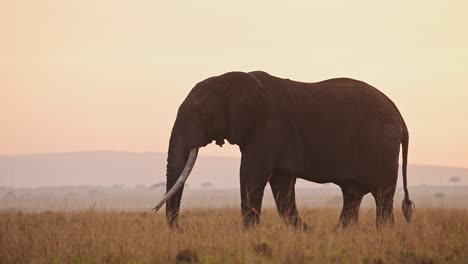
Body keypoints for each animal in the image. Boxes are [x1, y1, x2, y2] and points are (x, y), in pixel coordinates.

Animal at [154, 71, 414, 230]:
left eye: (200, 114)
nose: (180, 229)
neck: (234, 79)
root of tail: (401, 119)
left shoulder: (267, 128)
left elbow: (251, 174)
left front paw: (249, 234)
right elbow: (282, 184)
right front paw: (306, 233)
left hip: (382, 145)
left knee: (382, 195)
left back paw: (382, 233)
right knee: (353, 194)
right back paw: (340, 233)